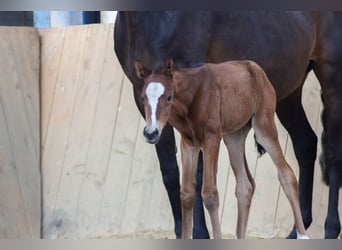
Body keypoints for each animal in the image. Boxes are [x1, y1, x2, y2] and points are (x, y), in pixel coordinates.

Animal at [136, 58, 310, 238]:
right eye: (142, 98)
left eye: (169, 97)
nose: (151, 133)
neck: (192, 96)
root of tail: (255, 67)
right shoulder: (189, 143)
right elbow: (186, 194)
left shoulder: (212, 138)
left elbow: (210, 194)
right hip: (233, 137)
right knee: (245, 185)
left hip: (264, 127)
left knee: (287, 174)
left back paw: (303, 235)